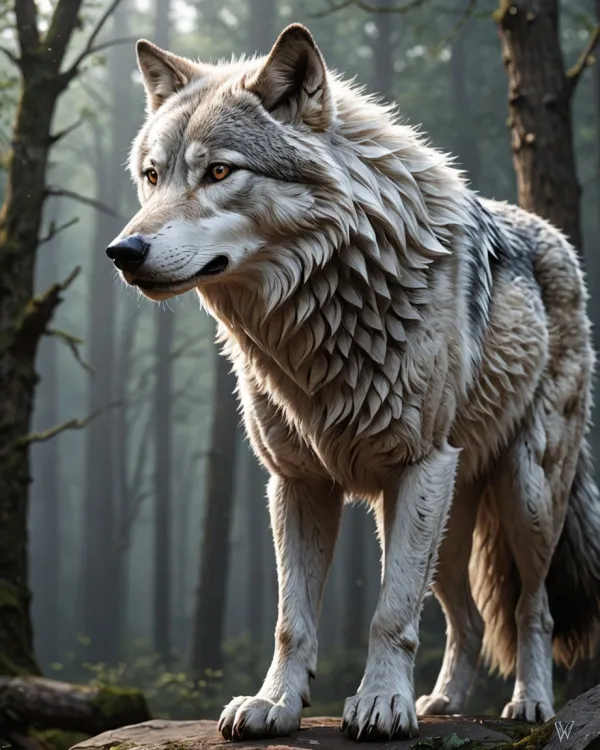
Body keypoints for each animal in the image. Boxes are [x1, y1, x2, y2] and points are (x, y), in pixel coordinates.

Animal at [107, 24, 600, 741]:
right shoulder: (296, 480)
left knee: (531, 609)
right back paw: (443, 702)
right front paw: (274, 705)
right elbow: (292, 620)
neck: (323, 313)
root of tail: (557, 239)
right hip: (444, 519)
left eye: (220, 171)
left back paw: (529, 704)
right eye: (152, 176)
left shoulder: (419, 466)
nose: (123, 253)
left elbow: (389, 614)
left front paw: (381, 704)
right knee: (467, 618)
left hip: (524, 496)